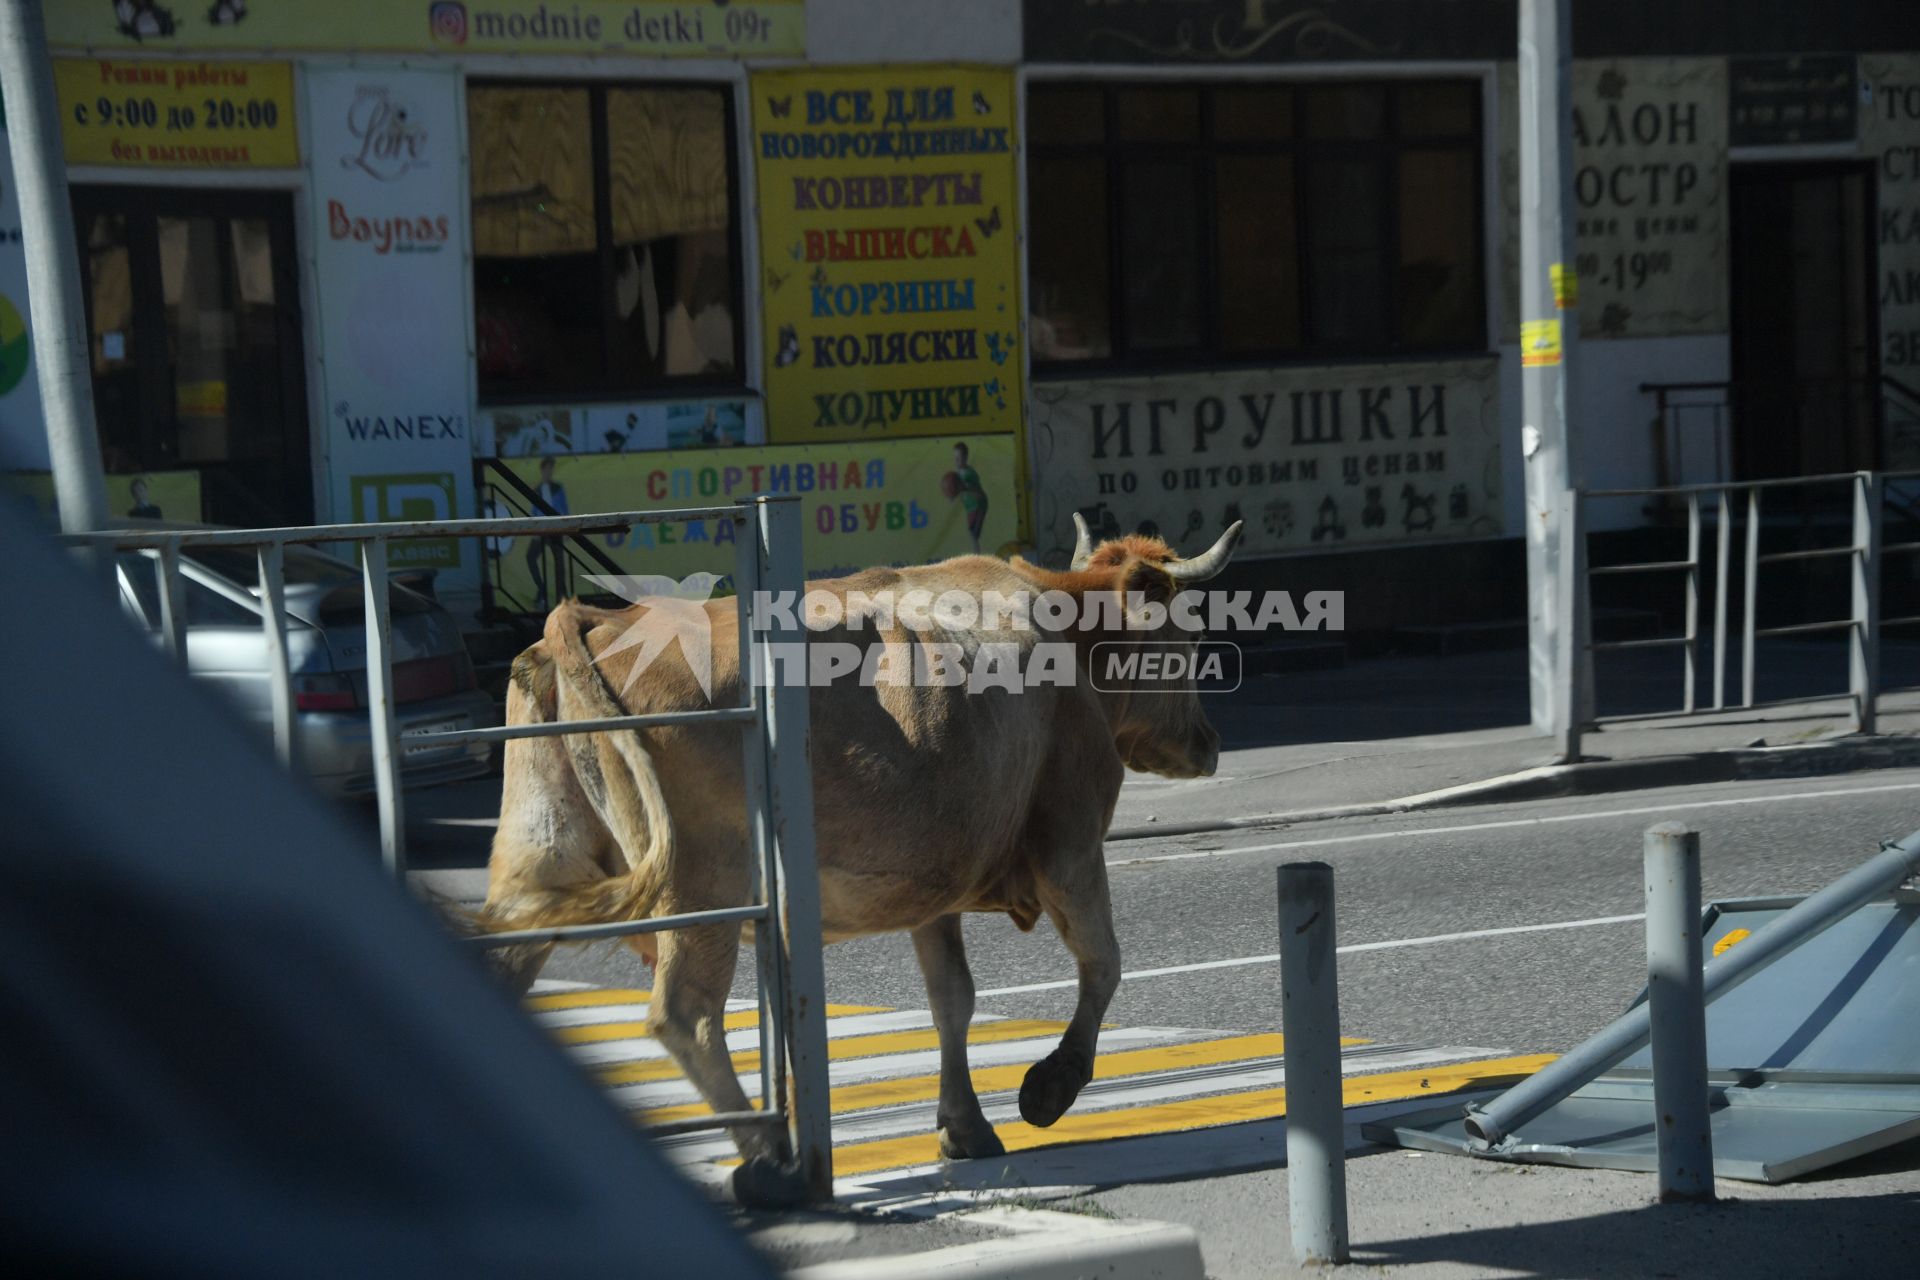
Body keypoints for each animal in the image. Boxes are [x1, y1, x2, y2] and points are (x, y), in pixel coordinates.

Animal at [480, 514, 1244, 1189]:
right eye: (1189, 635)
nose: (1210, 744)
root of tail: (601, 621)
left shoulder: (935, 881)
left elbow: (953, 997)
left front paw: (965, 1125)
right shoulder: (1069, 839)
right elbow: (1103, 963)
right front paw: (1049, 1087)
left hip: (541, 858)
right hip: (703, 888)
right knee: (686, 1014)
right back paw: (770, 1156)